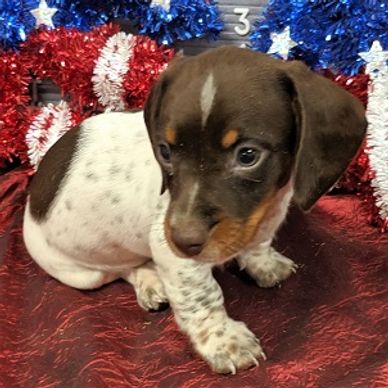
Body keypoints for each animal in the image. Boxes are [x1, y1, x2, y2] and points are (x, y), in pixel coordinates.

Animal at [22, 47, 366, 374]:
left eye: (248, 155)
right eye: (164, 151)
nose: (183, 240)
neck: (266, 207)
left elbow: (258, 245)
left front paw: (263, 263)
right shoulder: (173, 254)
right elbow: (203, 296)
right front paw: (224, 342)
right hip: (83, 274)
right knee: (120, 269)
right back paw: (150, 282)